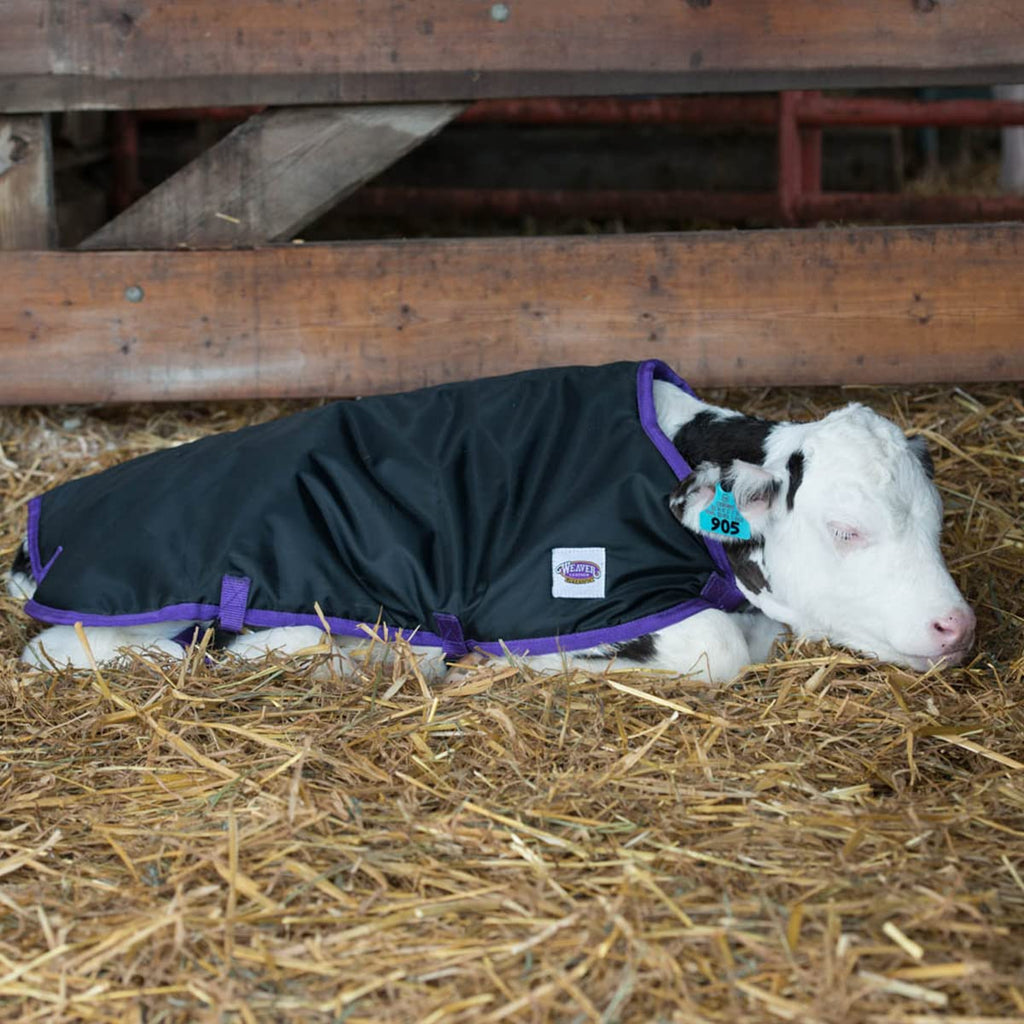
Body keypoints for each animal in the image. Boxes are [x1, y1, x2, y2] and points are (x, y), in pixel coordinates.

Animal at [7, 362, 975, 682]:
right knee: (65, 652)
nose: (957, 625)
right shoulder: (571, 596)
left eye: (934, 525)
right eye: (847, 530)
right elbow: (716, 650)